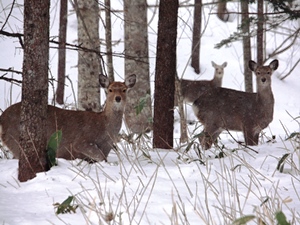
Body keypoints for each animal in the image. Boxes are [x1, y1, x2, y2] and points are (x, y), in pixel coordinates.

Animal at [0, 74, 136, 163]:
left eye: (124, 90)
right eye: (110, 89)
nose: (118, 98)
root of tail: (2, 118)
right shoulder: (81, 141)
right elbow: (101, 157)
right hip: (16, 139)